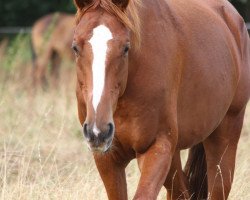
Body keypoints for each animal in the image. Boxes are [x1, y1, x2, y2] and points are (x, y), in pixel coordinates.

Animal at [72, 0, 250, 200]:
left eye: (126, 48)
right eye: (75, 47)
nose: (98, 131)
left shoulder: (156, 148)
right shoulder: (107, 158)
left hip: (225, 134)